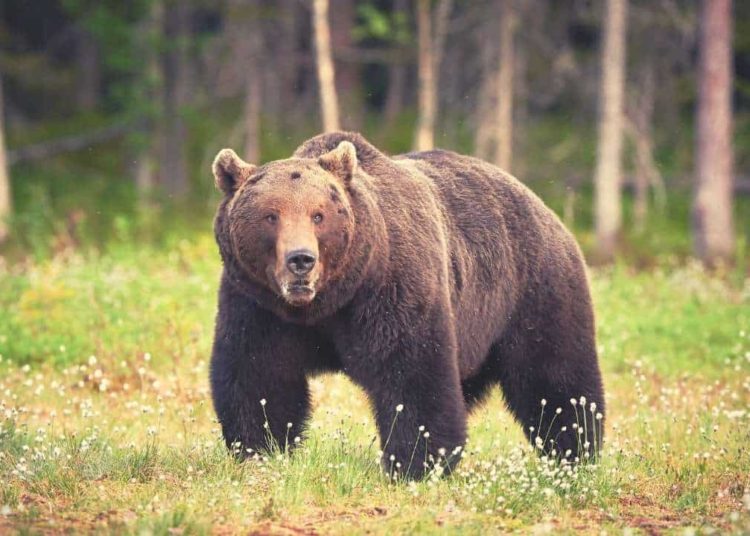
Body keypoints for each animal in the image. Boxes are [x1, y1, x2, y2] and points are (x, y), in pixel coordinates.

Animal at [209, 131, 606, 479]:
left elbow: (411, 373)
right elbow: (259, 374)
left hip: (533, 291)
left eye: (318, 214)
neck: (328, 301)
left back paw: (575, 451)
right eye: (271, 215)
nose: (301, 259)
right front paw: (260, 448)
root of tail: (546, 208)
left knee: (555, 377)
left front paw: (413, 463)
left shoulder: (391, 289)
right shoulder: (259, 305)